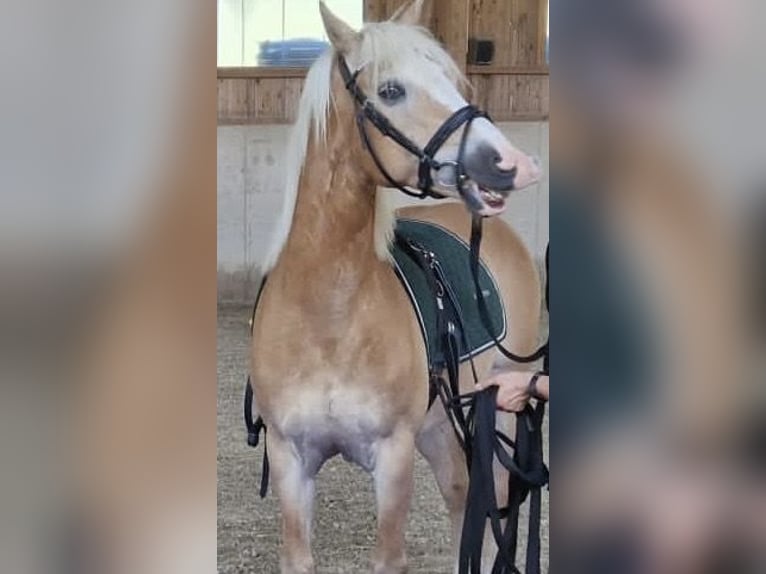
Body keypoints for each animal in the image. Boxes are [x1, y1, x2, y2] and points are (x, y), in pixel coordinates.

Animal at [252, 2, 544, 572]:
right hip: (446, 424)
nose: (514, 164)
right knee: (464, 502)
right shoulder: (289, 457)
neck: (327, 315)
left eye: (453, 81)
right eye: (390, 91)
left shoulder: (393, 455)